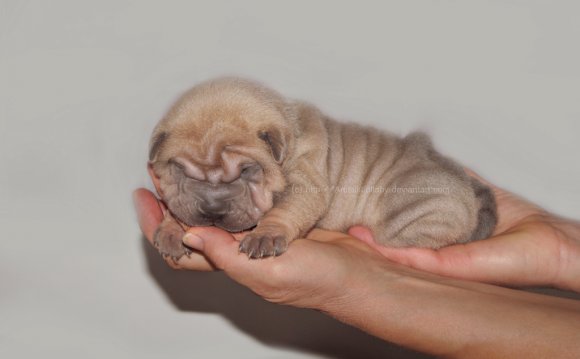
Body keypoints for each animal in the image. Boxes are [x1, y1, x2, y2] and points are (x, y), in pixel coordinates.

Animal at [147, 77, 496, 262]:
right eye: (180, 170)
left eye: (247, 171)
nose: (213, 209)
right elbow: (175, 205)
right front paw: (171, 229)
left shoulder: (307, 179)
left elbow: (286, 209)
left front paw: (264, 236)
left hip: (419, 208)